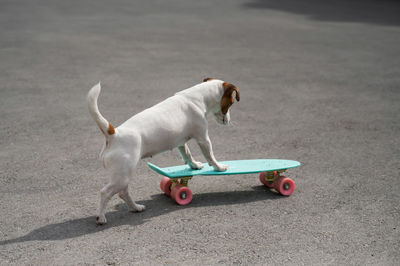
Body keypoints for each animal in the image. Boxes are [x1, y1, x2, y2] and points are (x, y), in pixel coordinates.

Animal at [87, 77, 238, 224]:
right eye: (231, 103)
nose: (229, 121)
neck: (197, 96)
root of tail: (114, 134)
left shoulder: (181, 142)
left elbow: (187, 154)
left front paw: (194, 165)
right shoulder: (203, 139)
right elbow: (210, 156)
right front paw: (219, 167)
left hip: (122, 175)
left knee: (123, 193)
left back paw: (136, 207)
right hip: (122, 177)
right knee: (105, 192)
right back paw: (101, 218)